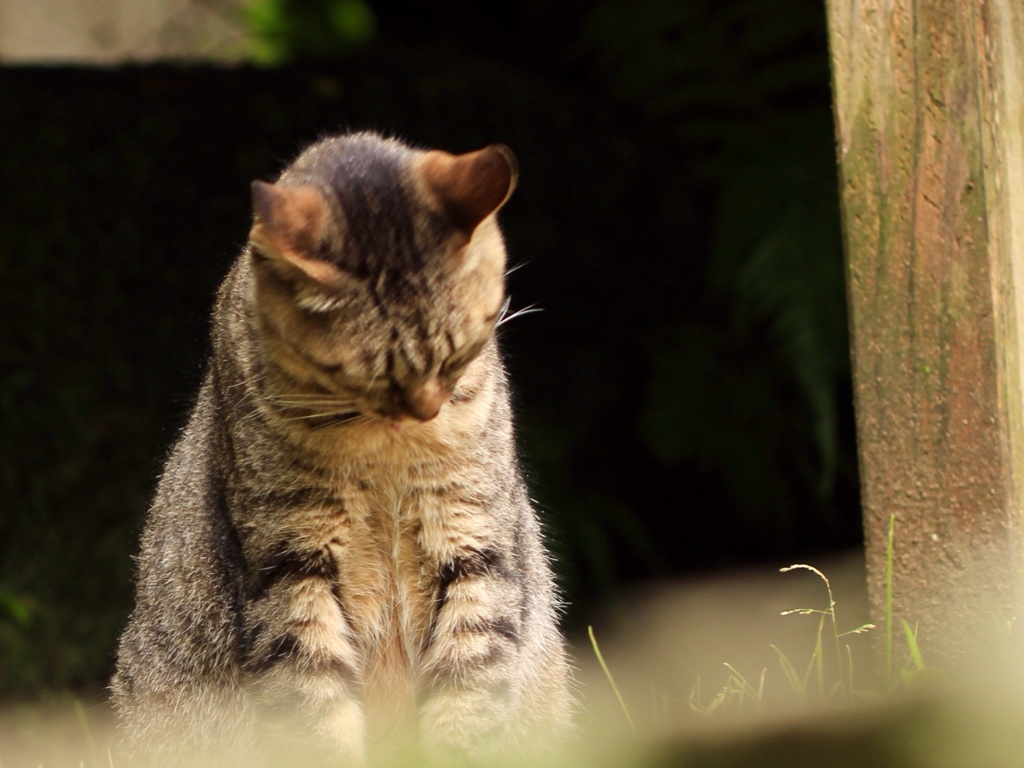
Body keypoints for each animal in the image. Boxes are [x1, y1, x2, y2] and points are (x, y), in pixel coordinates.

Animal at [114, 131, 577, 765]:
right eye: (367, 375)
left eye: (459, 354)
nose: (426, 409)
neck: (385, 449)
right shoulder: (290, 563)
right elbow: (315, 710)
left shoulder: (473, 538)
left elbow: (469, 692)